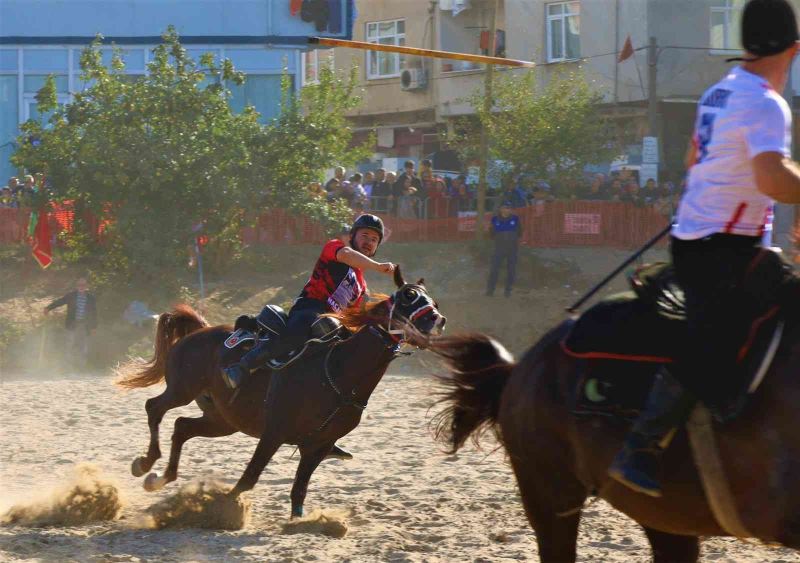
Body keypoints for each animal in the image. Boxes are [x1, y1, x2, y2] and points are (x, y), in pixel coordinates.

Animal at [119, 266, 446, 516]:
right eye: (407, 297)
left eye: (432, 300)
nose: (437, 320)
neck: (339, 371)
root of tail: (200, 330)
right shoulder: (273, 433)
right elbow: (249, 478)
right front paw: (221, 508)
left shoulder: (318, 446)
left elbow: (299, 490)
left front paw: (300, 522)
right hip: (182, 389)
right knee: (155, 408)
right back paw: (145, 462)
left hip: (223, 420)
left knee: (182, 427)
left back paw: (159, 478)